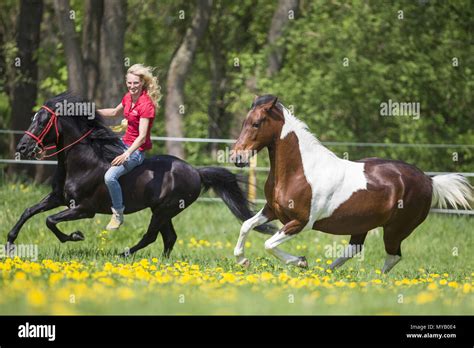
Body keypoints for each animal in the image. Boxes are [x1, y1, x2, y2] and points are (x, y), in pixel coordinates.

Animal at [8, 94, 274, 256]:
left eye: (42, 122)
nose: (22, 148)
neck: (82, 163)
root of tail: (196, 172)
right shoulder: (57, 198)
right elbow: (29, 212)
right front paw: (10, 243)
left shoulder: (84, 209)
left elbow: (49, 220)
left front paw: (75, 236)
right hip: (163, 210)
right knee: (169, 237)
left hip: (164, 209)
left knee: (152, 236)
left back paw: (123, 254)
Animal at [231, 96, 472, 274]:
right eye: (243, 122)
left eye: (256, 123)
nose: (236, 158)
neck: (300, 171)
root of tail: (429, 181)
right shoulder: (272, 210)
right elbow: (246, 225)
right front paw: (243, 260)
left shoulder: (301, 222)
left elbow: (268, 244)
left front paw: (301, 261)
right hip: (363, 224)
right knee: (355, 248)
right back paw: (328, 272)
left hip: (395, 229)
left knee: (393, 255)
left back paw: (375, 279)